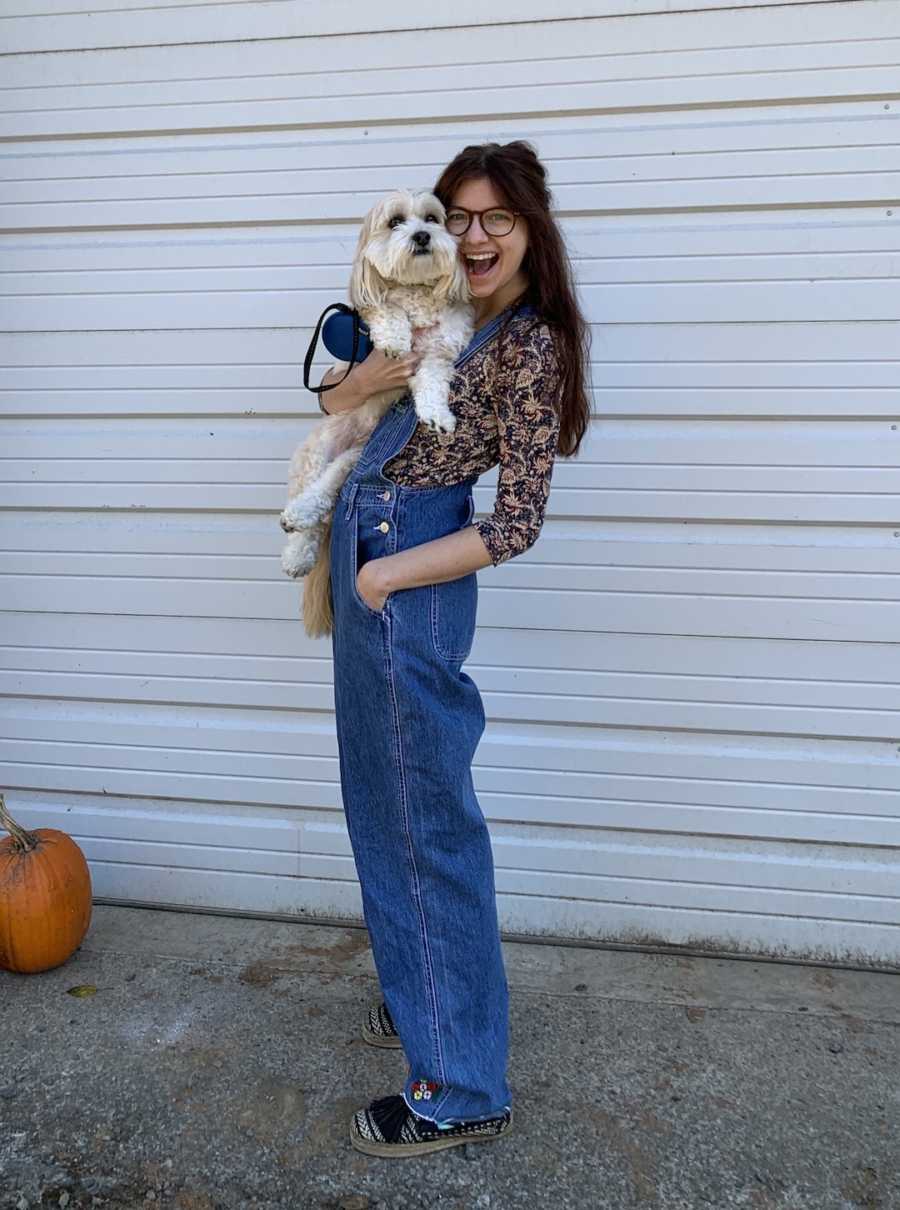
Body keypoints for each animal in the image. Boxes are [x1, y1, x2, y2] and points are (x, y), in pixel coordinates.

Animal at [280, 188, 474, 638]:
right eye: (395, 221)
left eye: (433, 219)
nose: (422, 236)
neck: (418, 294)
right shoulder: (367, 315)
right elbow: (386, 309)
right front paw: (396, 337)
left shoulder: (441, 352)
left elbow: (432, 380)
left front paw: (437, 415)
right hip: (316, 450)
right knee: (308, 504)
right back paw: (295, 536)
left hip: (353, 458)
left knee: (325, 497)